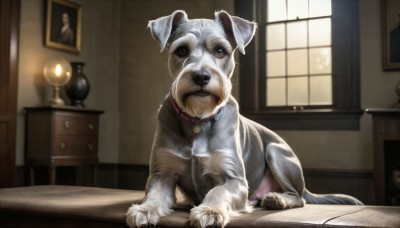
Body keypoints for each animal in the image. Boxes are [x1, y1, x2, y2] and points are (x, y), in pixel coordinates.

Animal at [126, 9, 362, 228]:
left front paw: (210, 211)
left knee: (298, 197)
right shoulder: (162, 174)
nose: (201, 76)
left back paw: (277, 199)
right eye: (182, 50)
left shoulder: (235, 180)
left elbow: (218, 191)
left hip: (275, 152)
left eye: (220, 50)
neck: (199, 119)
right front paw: (144, 210)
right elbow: (154, 195)